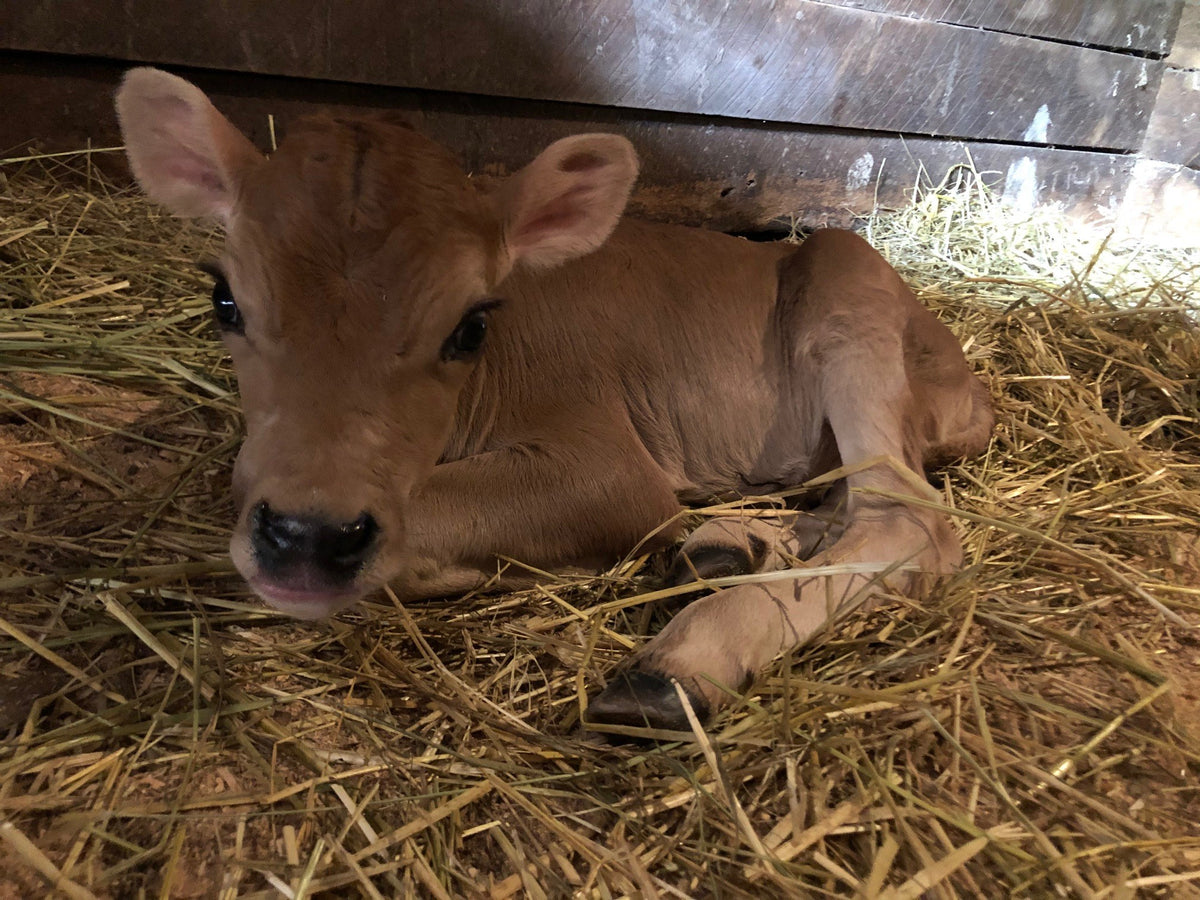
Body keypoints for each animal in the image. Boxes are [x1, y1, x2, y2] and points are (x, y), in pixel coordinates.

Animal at [116, 68, 993, 732]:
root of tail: (965, 380)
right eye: (225, 300)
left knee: (905, 518)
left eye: (471, 326)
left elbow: (433, 514)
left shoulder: (605, 464)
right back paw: (730, 548)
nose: (306, 538)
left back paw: (682, 662)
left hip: (849, 292)